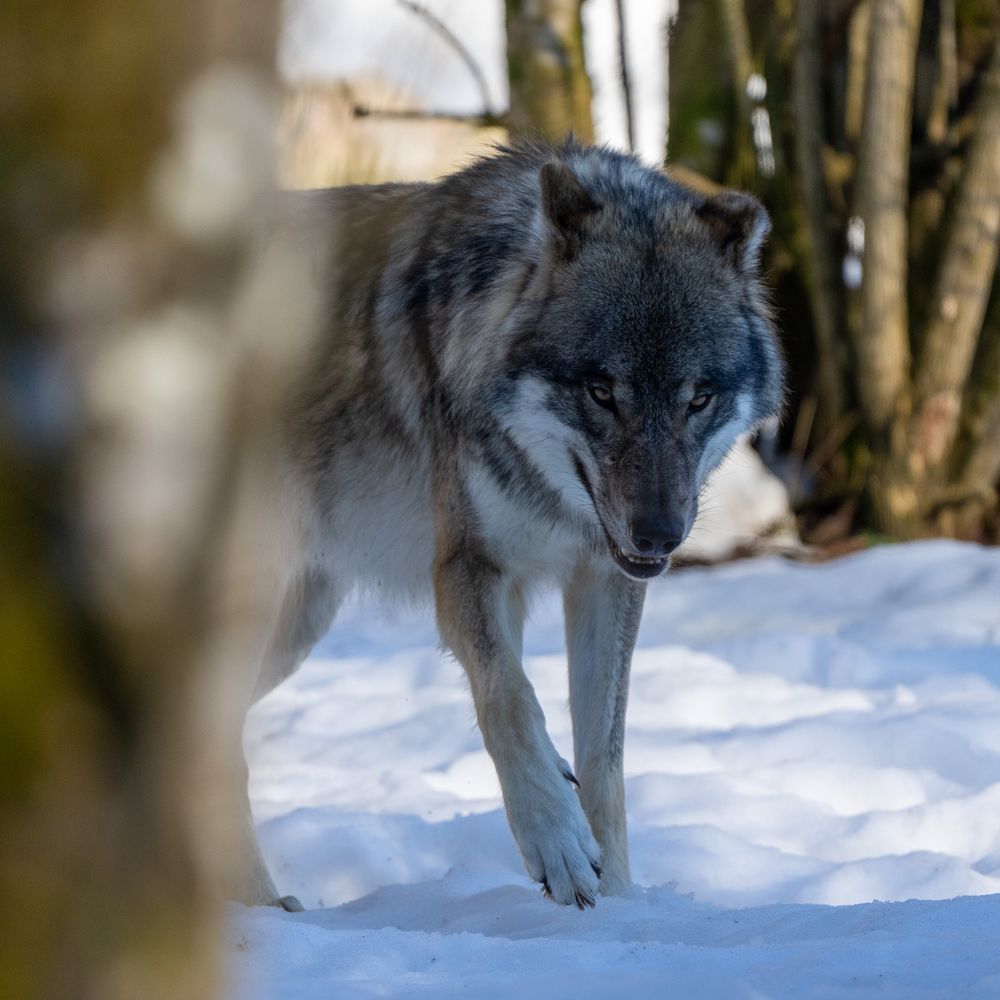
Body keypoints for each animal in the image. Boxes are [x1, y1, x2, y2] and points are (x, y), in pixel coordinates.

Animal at [230, 141, 784, 916]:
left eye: (698, 398)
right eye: (601, 392)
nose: (660, 536)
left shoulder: (604, 580)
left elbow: (603, 756)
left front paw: (617, 896)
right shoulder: (471, 568)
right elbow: (510, 698)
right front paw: (559, 846)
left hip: (297, 627)